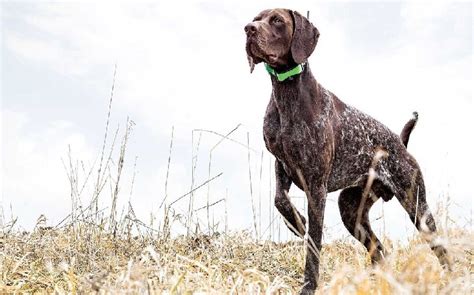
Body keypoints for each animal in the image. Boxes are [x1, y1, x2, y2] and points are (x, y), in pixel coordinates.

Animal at [246, 8, 450, 294]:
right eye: (256, 19)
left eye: (276, 20)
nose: (248, 29)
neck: (287, 94)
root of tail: (400, 144)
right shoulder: (282, 164)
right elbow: (280, 200)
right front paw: (296, 222)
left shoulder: (316, 186)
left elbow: (314, 244)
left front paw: (309, 286)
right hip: (351, 210)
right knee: (379, 250)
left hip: (417, 205)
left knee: (440, 248)